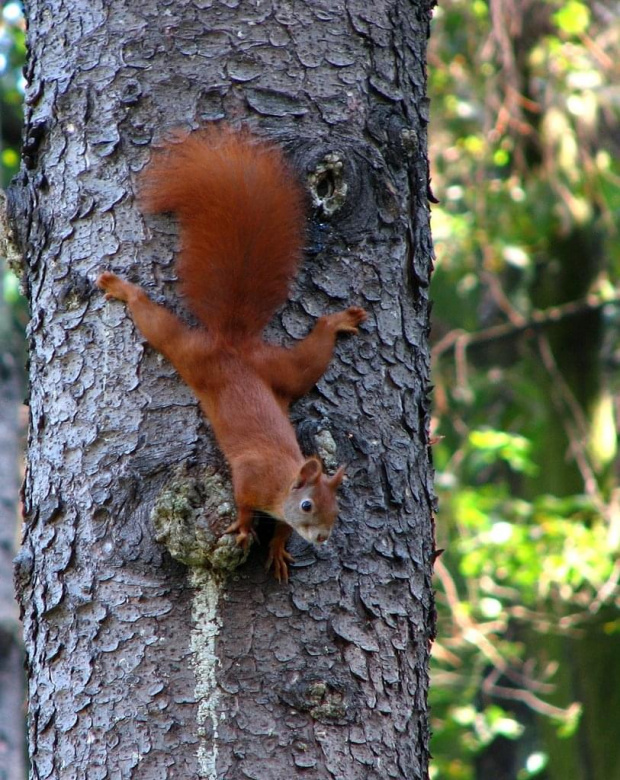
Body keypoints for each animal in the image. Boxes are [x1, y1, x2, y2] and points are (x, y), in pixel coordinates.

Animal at [97, 126, 366, 580]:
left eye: (336, 509)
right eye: (308, 504)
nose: (322, 538)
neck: (281, 481)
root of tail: (233, 345)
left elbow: (281, 531)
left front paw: (278, 549)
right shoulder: (248, 476)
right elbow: (241, 502)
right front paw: (242, 528)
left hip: (283, 372)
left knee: (312, 355)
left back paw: (338, 321)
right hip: (190, 352)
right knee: (156, 324)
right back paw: (122, 289)